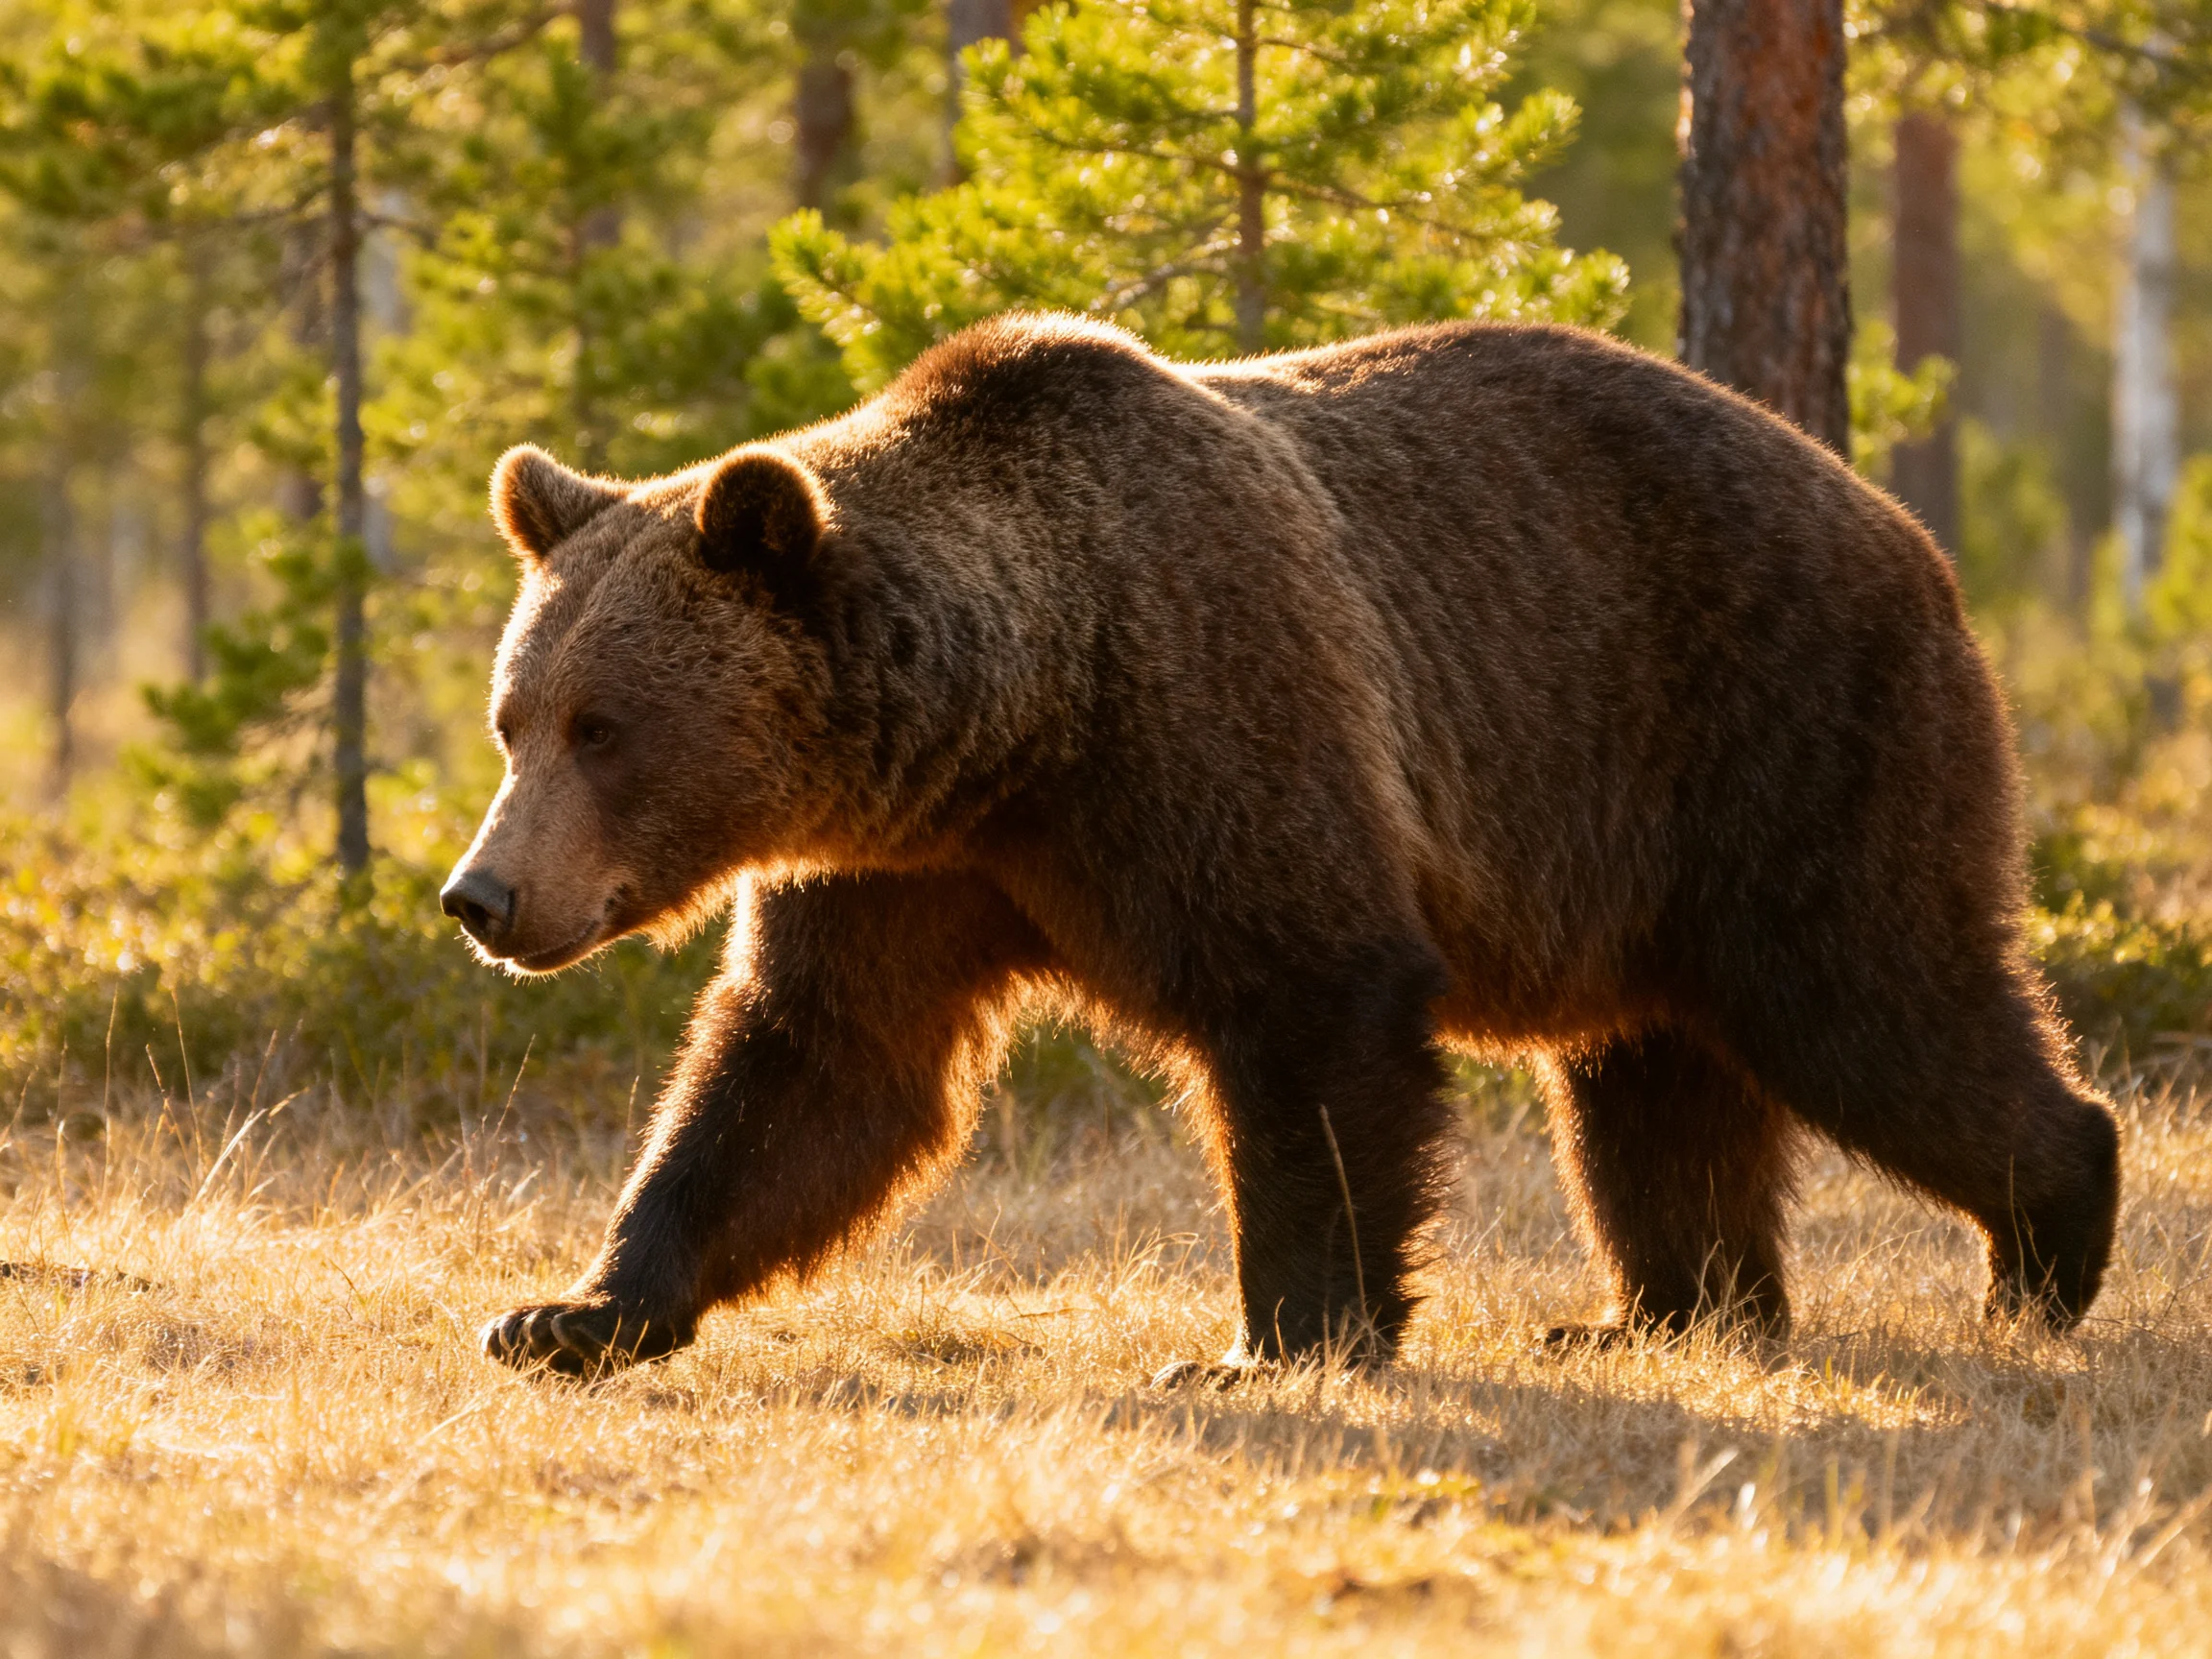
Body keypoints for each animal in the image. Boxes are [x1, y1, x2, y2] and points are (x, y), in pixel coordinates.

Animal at [444, 312, 2121, 1382]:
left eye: (606, 726)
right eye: (514, 715)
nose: (484, 895)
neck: (1020, 718)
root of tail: (1908, 530)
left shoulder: (1212, 723)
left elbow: (1309, 1010)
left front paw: (1277, 1340)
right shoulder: (904, 870)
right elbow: (815, 1067)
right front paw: (571, 1313)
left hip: (1781, 731)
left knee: (1868, 1003)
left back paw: (2046, 1249)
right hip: (1636, 851)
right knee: (1652, 1080)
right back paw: (1666, 1313)